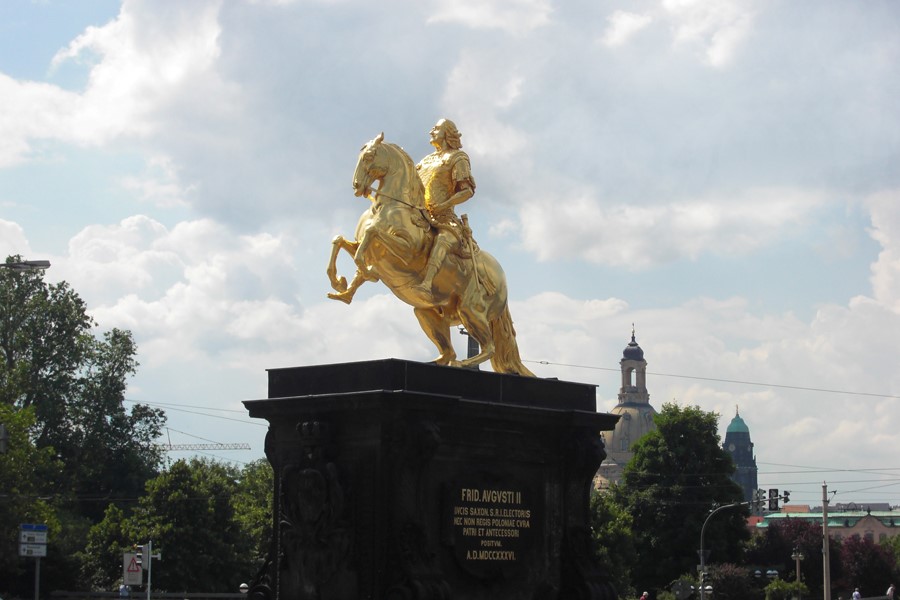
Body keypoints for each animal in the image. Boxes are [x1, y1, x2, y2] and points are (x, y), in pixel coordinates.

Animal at [326, 134, 536, 376]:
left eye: (369, 156)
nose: (357, 186)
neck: (389, 206)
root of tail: (501, 278)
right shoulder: (362, 244)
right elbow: (340, 240)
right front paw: (341, 285)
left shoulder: (406, 250)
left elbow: (372, 234)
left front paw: (367, 272)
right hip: (426, 313)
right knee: (448, 352)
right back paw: (436, 362)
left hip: (470, 311)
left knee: (488, 348)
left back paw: (463, 363)